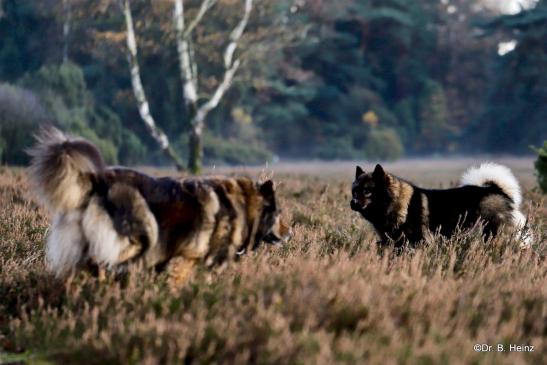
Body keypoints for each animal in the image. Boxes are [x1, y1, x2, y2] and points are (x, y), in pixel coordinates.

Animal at [26, 126, 292, 280]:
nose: (291, 233)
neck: (242, 206)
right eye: (279, 214)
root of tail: (97, 181)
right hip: (137, 238)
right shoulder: (186, 259)